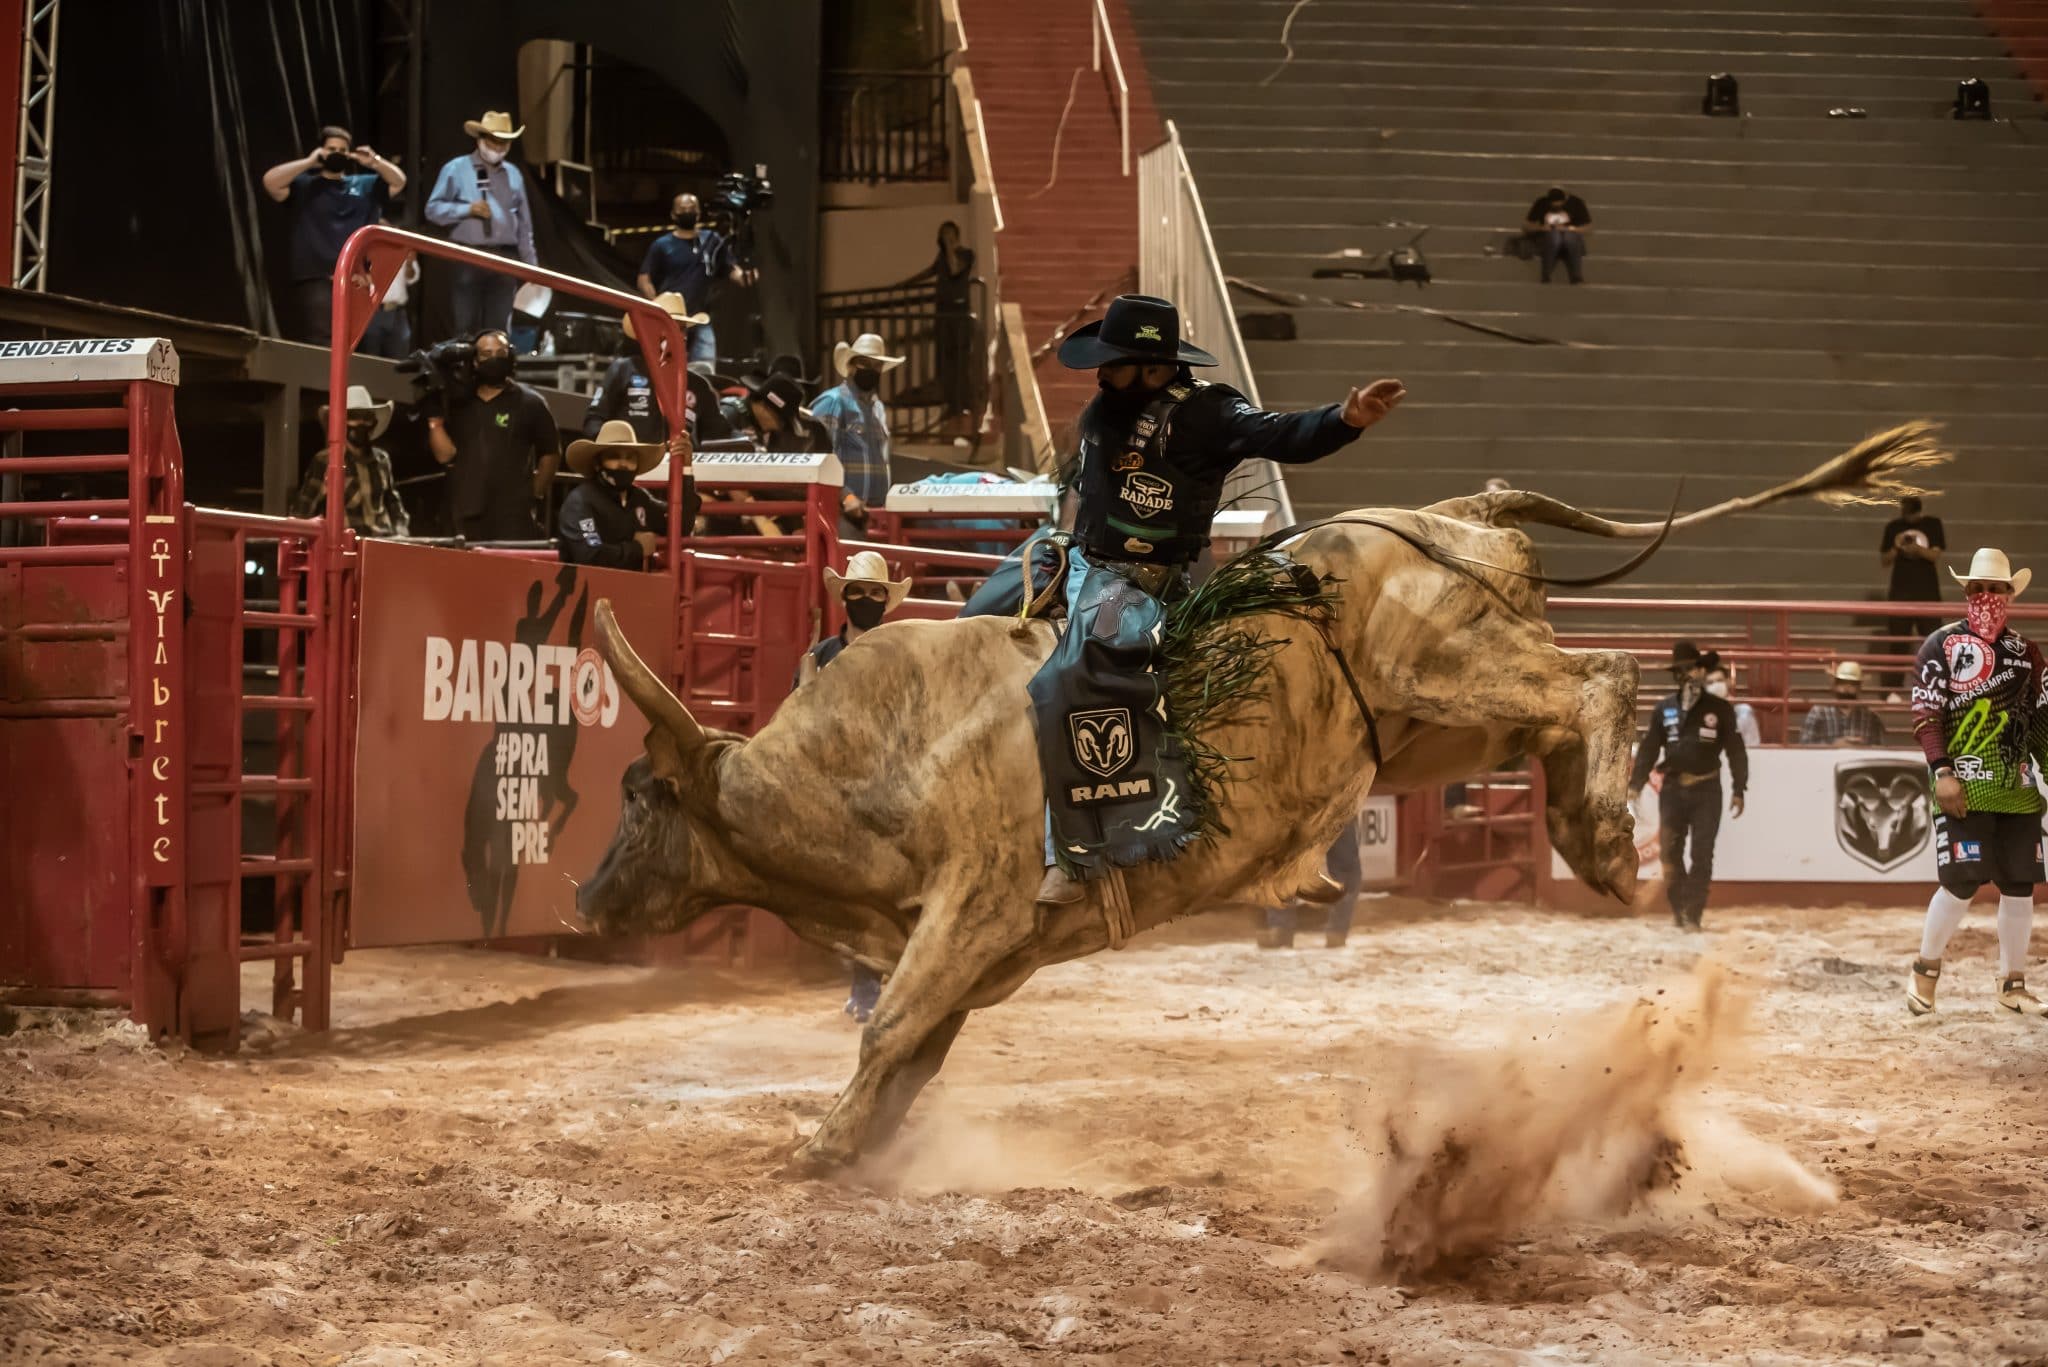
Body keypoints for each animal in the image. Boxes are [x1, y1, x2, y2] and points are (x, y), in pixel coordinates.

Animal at [573, 422, 1933, 1172]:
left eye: (642, 791)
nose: (583, 901)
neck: (882, 755)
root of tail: (1449, 513)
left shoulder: (969, 908)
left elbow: (890, 1026)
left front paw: (822, 1141)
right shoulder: (982, 950)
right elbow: (914, 1046)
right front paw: (863, 1143)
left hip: (1450, 671)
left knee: (1595, 677)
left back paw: (1600, 843)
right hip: (1435, 727)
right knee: (1562, 707)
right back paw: (1589, 832)